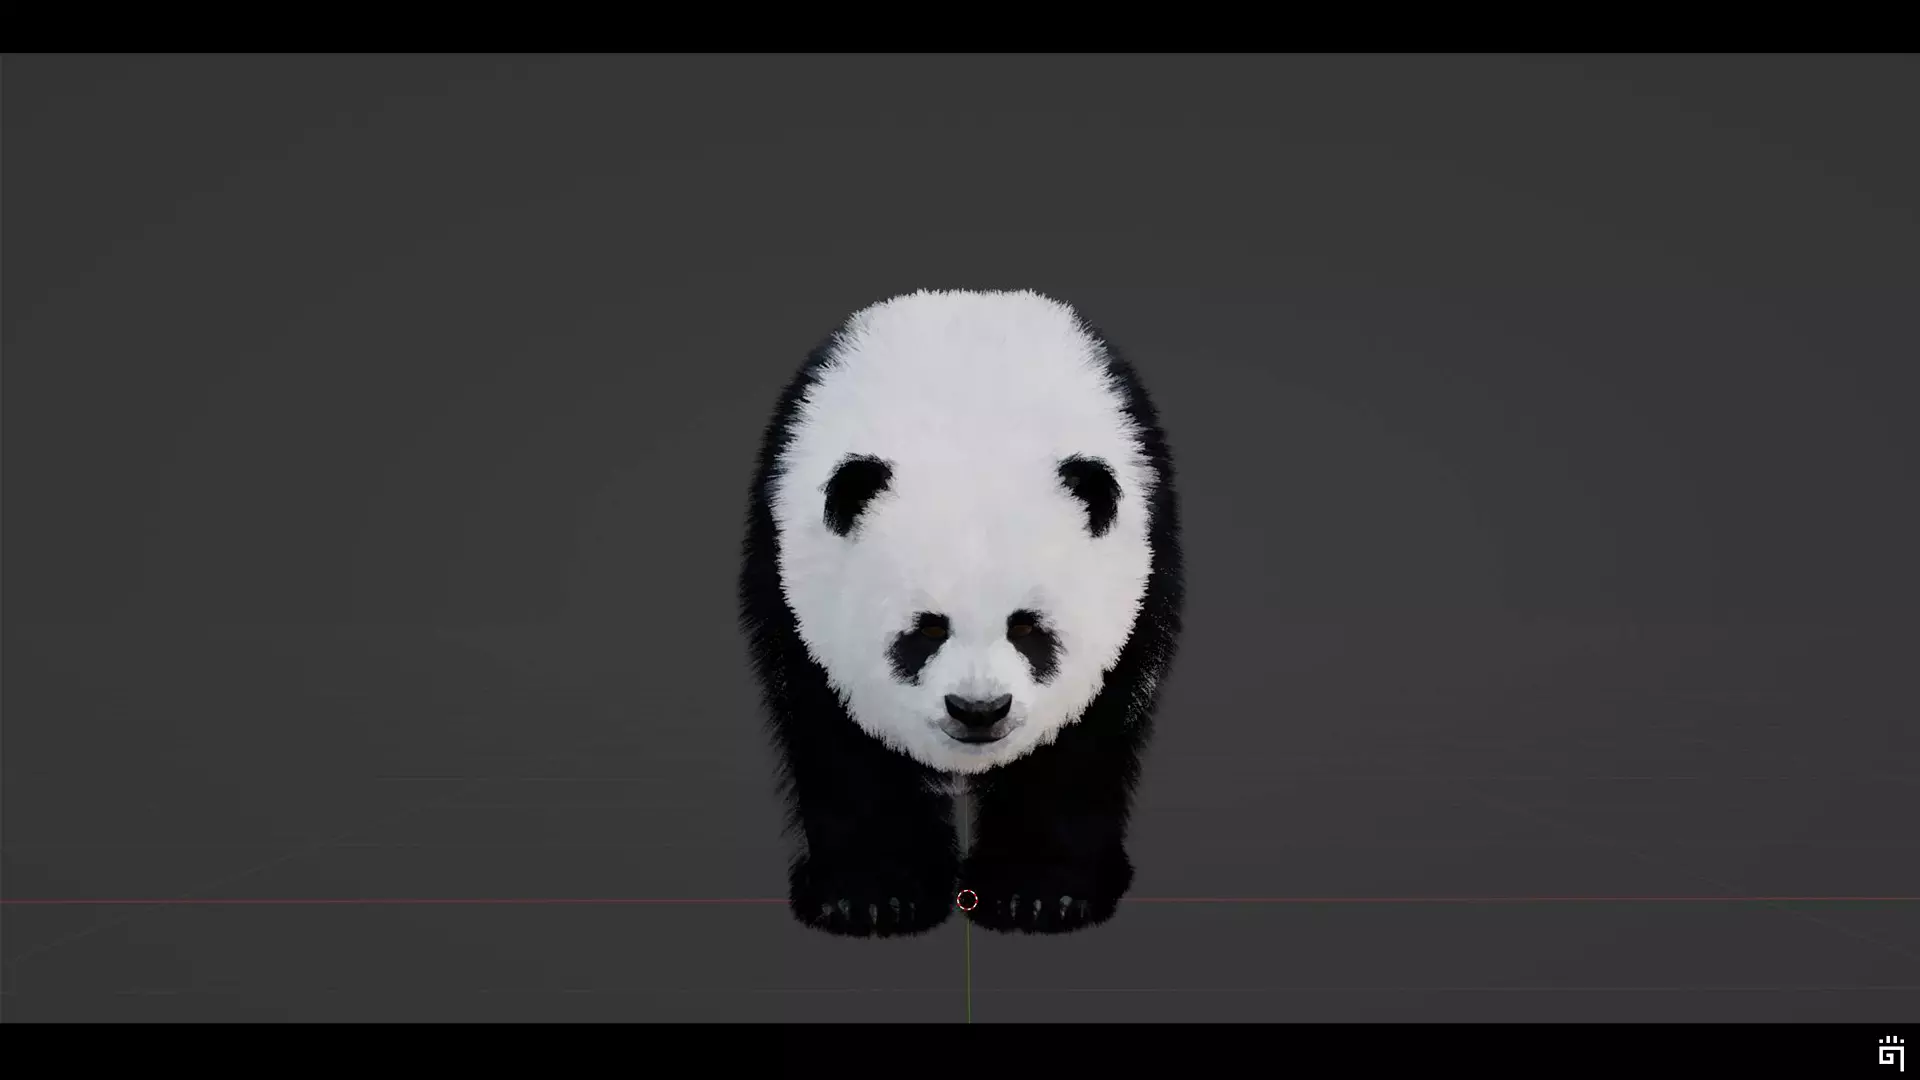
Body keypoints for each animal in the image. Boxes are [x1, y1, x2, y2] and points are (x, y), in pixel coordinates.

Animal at [738, 288, 1183, 937]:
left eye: (1027, 628)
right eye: (926, 629)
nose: (979, 710)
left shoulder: (1141, 575)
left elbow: (1086, 734)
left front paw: (1039, 893)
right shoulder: (789, 574)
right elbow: (836, 733)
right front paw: (873, 895)